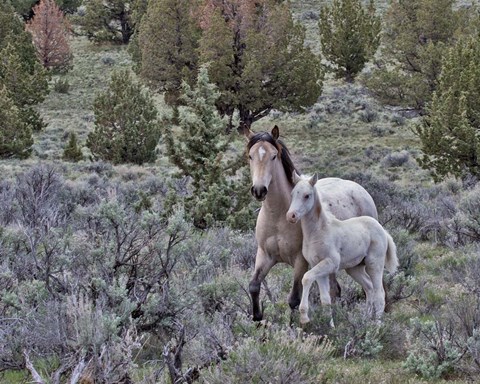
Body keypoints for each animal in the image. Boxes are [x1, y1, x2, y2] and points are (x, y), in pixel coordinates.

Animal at [246, 126, 376, 320]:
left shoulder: (300, 261)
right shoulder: (264, 255)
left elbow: (293, 299)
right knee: (335, 290)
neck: (278, 217)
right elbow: (254, 286)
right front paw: (257, 319)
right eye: (250, 156)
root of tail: (359, 189)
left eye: (274, 156)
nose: (259, 190)